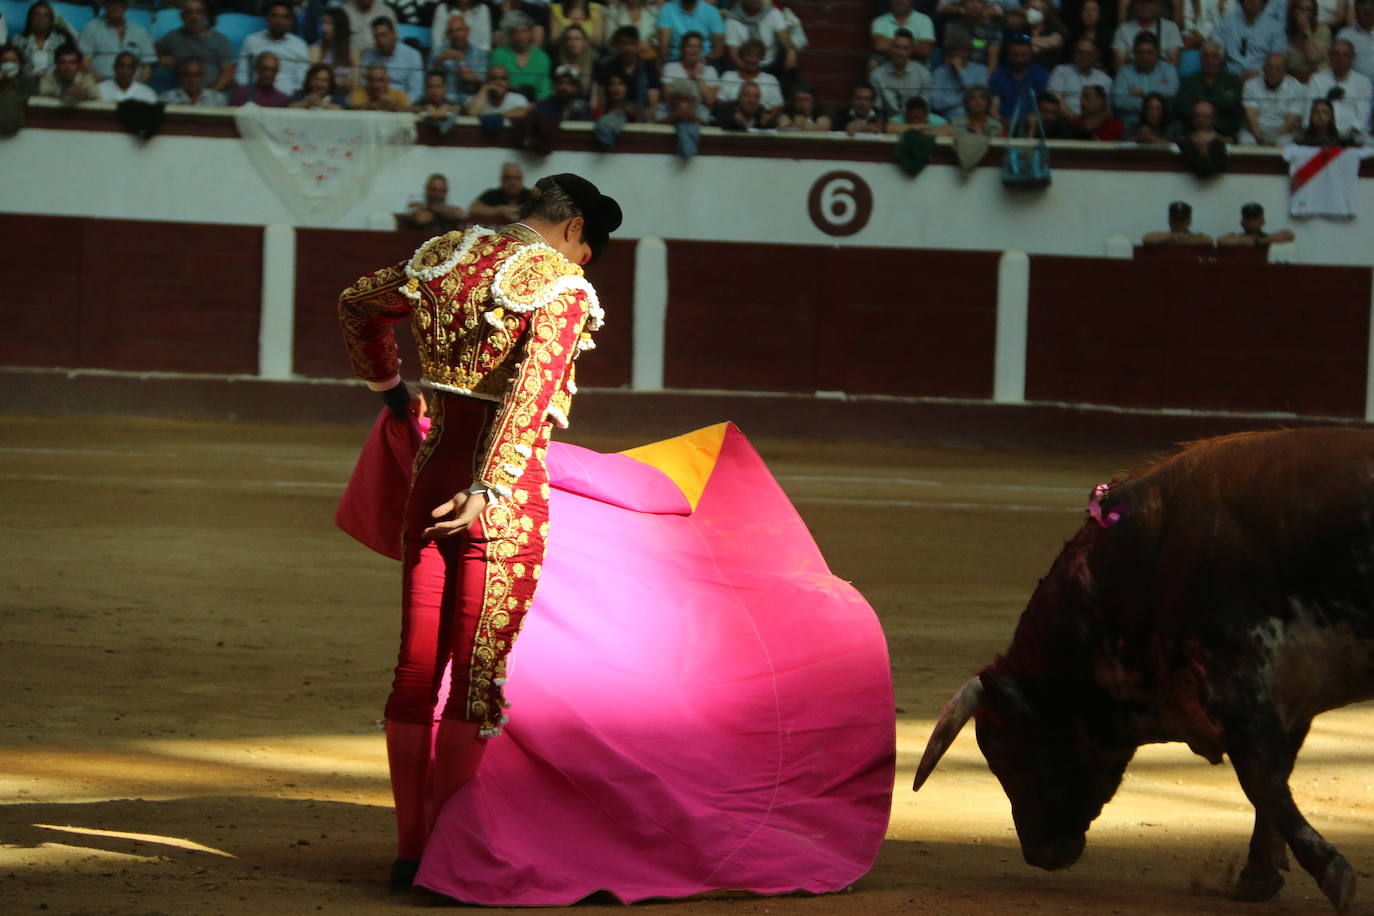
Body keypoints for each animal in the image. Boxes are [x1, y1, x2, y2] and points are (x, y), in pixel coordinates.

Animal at [912, 428, 1374, 911]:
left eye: (1000, 748)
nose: (1037, 853)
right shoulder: (1285, 694)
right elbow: (1275, 778)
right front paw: (1258, 875)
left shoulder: (1236, 678)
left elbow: (1261, 778)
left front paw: (1334, 875)